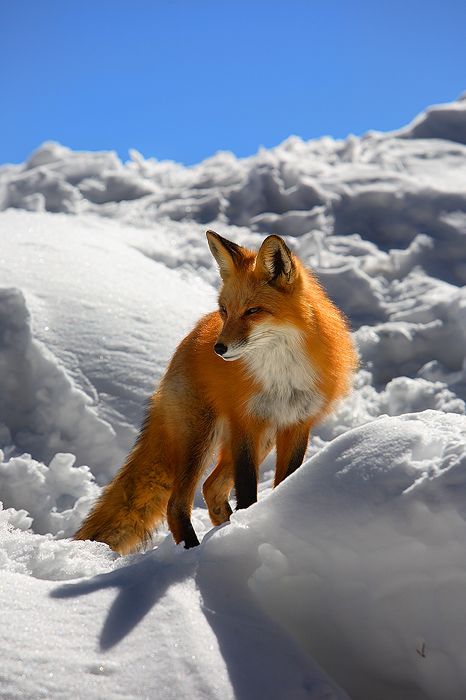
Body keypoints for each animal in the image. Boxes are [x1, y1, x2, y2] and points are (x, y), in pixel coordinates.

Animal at [74, 232, 356, 556]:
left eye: (253, 311)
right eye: (225, 310)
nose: (219, 349)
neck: (280, 372)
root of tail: (187, 341)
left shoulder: (297, 423)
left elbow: (285, 480)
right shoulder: (245, 421)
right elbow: (246, 490)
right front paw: (246, 530)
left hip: (260, 438)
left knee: (210, 488)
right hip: (200, 438)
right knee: (177, 504)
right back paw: (193, 550)